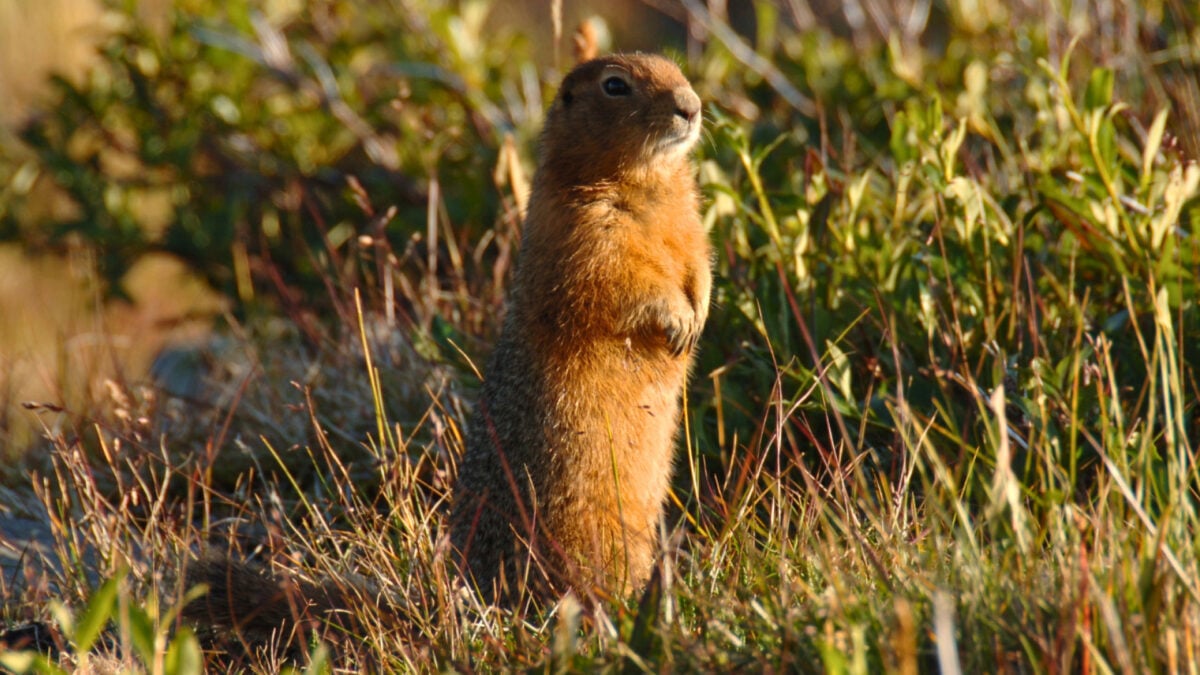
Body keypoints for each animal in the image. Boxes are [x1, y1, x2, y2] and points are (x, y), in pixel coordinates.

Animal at [182, 52, 710, 642]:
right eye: (614, 86)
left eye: (676, 70)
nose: (691, 106)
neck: (647, 184)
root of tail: (462, 594)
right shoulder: (587, 232)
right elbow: (622, 282)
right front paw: (677, 320)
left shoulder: (690, 222)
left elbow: (699, 261)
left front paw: (698, 314)